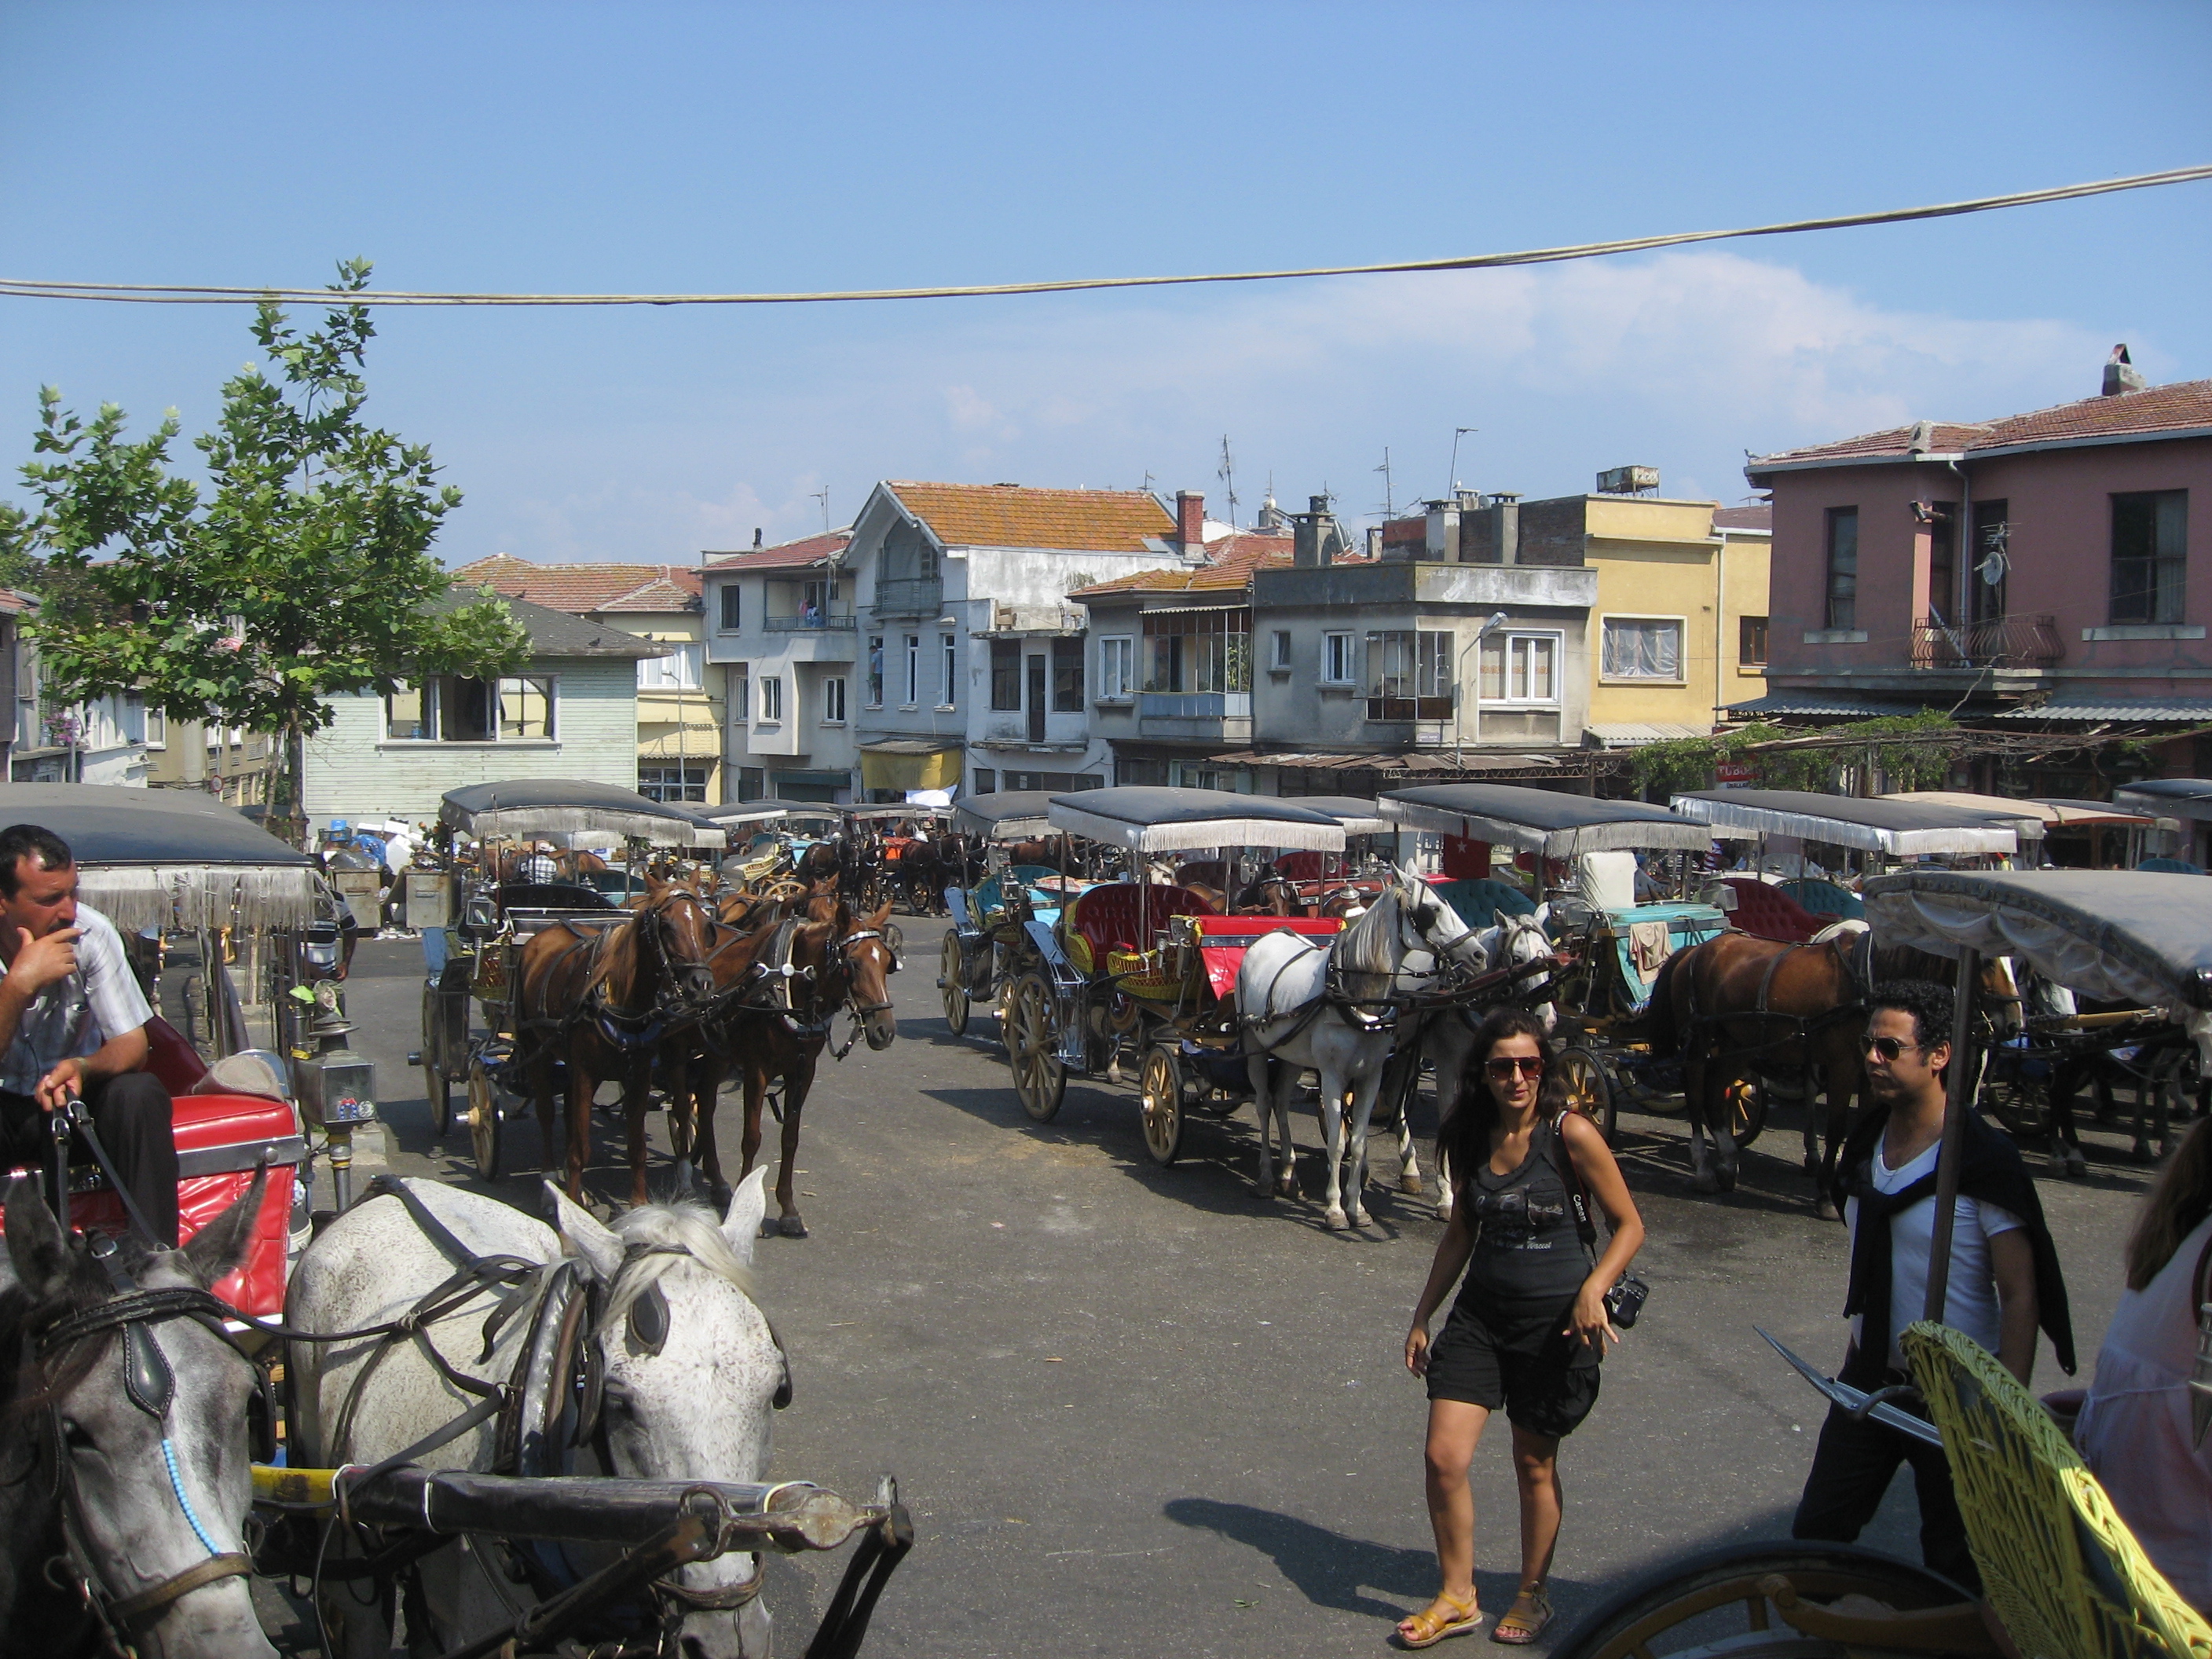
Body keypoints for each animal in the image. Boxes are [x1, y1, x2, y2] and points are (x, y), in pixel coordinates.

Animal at [515, 876, 723, 1205]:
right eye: (666, 925)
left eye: (707, 926)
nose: (701, 986)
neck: (622, 1001)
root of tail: (548, 930)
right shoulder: (586, 1072)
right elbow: (580, 1150)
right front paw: (571, 1201)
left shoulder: (638, 1075)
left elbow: (636, 1146)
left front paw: (638, 1204)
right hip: (536, 1049)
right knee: (546, 1112)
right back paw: (550, 1180)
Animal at [689, 897, 899, 1236]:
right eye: (852, 965)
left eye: (887, 963)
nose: (885, 1031)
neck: (790, 987)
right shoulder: (756, 1071)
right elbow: (752, 1138)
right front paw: (747, 1206)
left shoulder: (803, 1072)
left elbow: (790, 1138)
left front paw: (788, 1211)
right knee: (704, 1106)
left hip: (718, 1054)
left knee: (705, 1103)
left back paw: (717, 1181)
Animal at [1236, 866, 1487, 1229]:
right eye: (1432, 910)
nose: (1479, 955)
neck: (1355, 994)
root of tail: (1268, 935)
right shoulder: (1331, 1076)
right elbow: (1337, 1144)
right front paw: (1335, 1209)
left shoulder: (1370, 1075)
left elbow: (1356, 1142)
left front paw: (1356, 1207)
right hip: (1253, 1044)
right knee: (1264, 1104)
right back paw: (1267, 1178)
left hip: (1291, 1052)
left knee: (1281, 1102)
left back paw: (1288, 1174)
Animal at [1635, 931, 2019, 1213]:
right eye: (1987, 961)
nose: (2015, 1023)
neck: (1869, 981)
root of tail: (1696, 950)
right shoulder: (1842, 1066)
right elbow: (1835, 1129)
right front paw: (1825, 1195)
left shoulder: (1873, 1072)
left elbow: (1865, 1126)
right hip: (1700, 1040)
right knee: (1695, 1092)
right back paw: (1703, 1168)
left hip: (1735, 1042)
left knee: (1716, 1091)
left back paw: (1728, 1163)